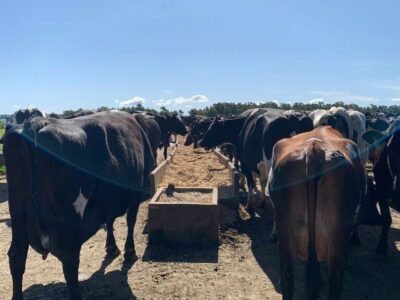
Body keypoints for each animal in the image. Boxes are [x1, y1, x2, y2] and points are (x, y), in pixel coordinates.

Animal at [3, 110, 156, 300]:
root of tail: (36, 122)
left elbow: (110, 221)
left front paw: (111, 247)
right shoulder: (135, 194)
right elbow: (130, 221)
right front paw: (130, 251)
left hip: (18, 211)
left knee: (16, 255)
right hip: (69, 218)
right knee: (70, 259)